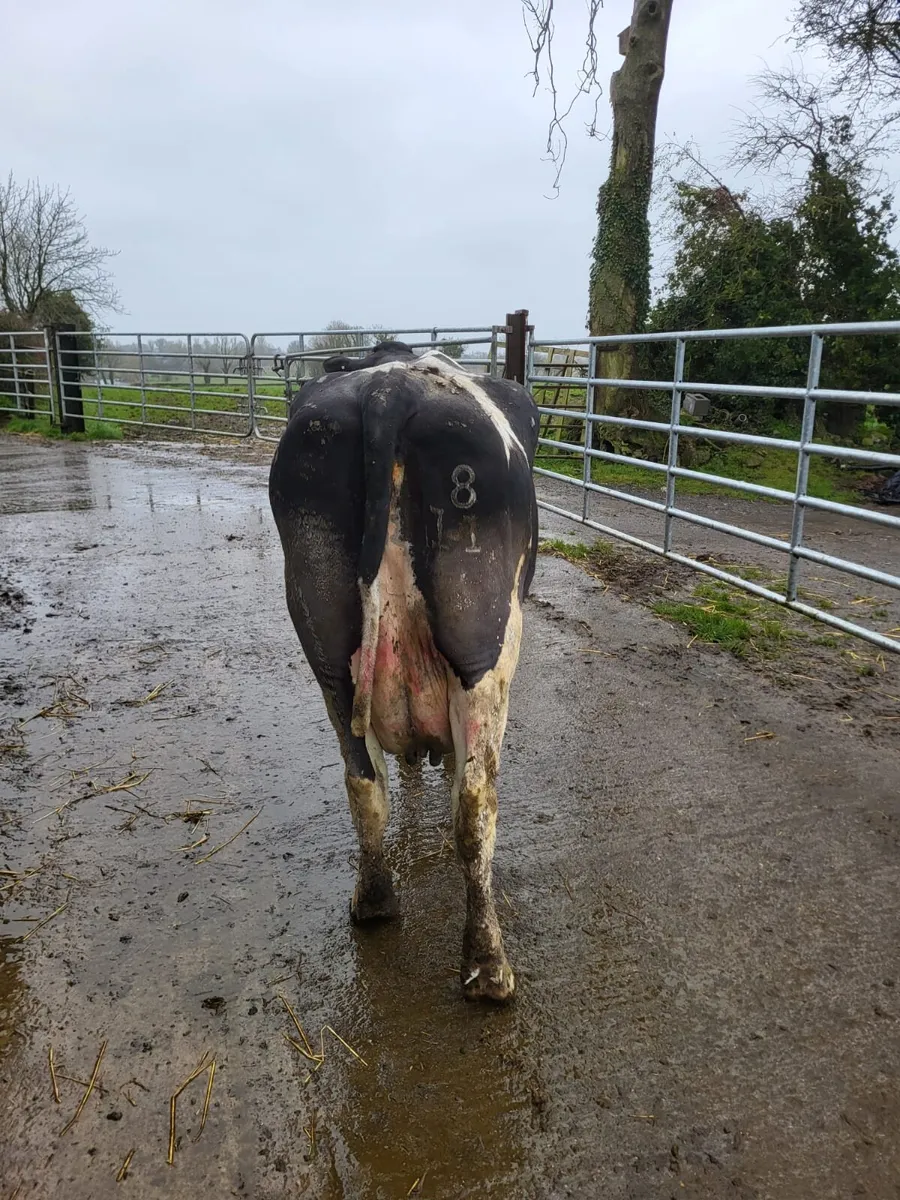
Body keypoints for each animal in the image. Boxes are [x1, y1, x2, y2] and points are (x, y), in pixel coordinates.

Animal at [268, 341, 539, 1001]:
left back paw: (373, 903)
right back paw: (489, 970)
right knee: (476, 803)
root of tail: (388, 390)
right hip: (486, 647)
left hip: (328, 651)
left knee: (364, 783)